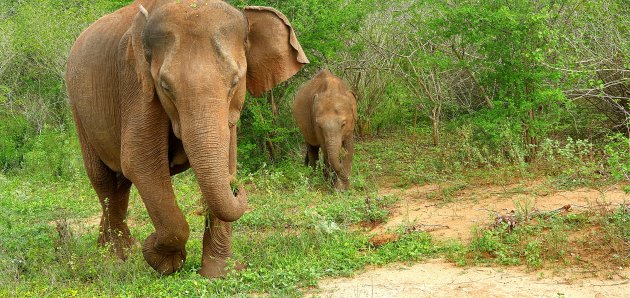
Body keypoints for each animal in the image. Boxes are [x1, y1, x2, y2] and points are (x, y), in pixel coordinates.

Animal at [65, 0, 308, 280]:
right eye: (165, 87)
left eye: (235, 82)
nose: (236, 186)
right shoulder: (136, 87)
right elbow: (139, 161)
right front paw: (163, 259)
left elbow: (227, 159)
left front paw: (217, 273)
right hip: (78, 109)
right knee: (103, 180)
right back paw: (117, 260)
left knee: (120, 186)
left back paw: (113, 250)